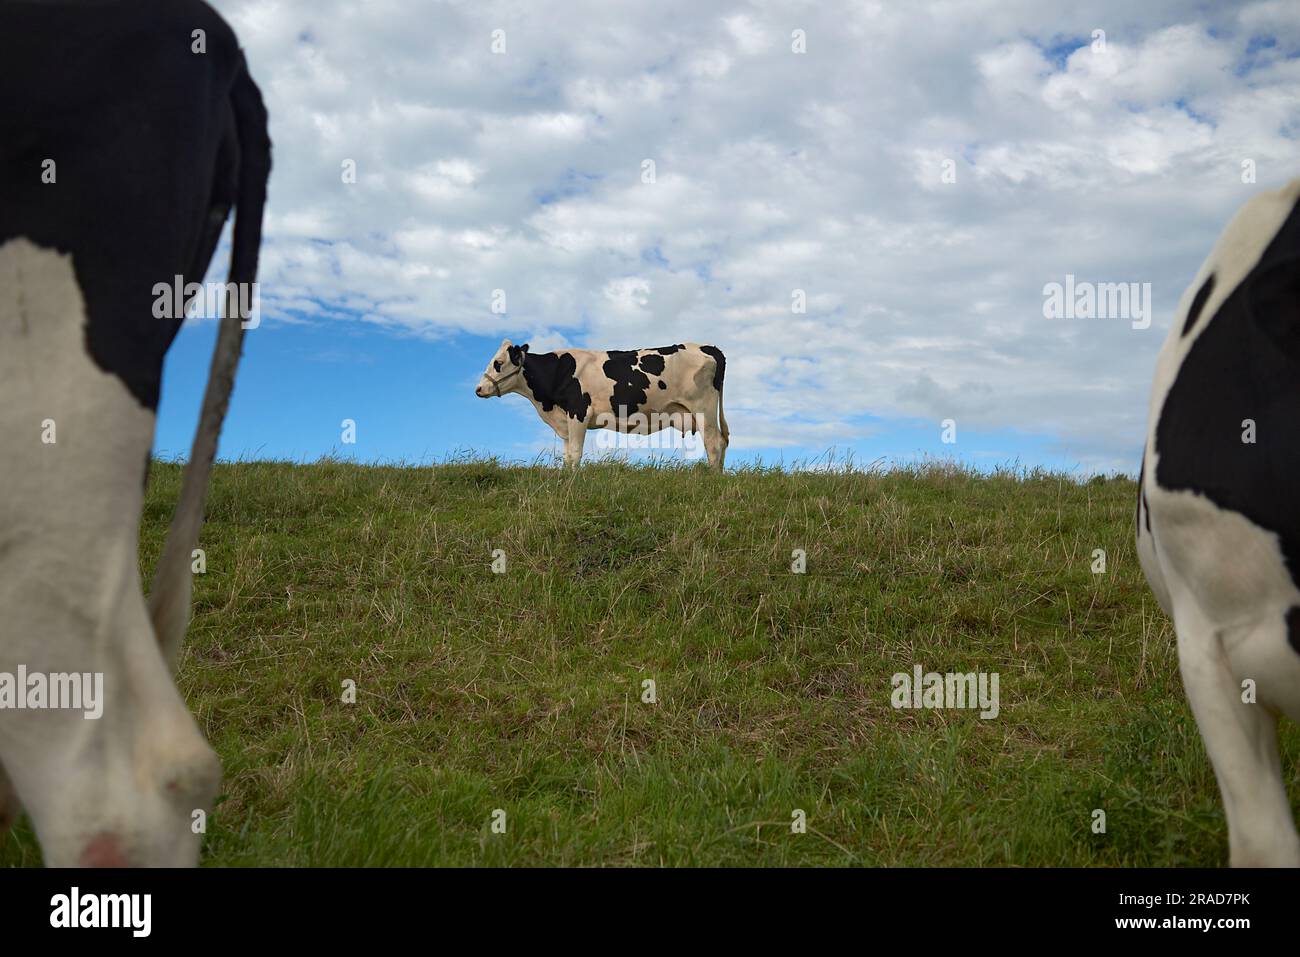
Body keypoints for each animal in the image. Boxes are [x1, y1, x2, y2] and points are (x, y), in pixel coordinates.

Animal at [475, 340, 730, 470]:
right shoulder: (566, 420)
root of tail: (708, 347)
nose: (478, 389)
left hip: (703, 408)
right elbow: (567, 456)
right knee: (722, 442)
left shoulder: (578, 412)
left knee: (714, 443)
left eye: (498, 363)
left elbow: (575, 454)